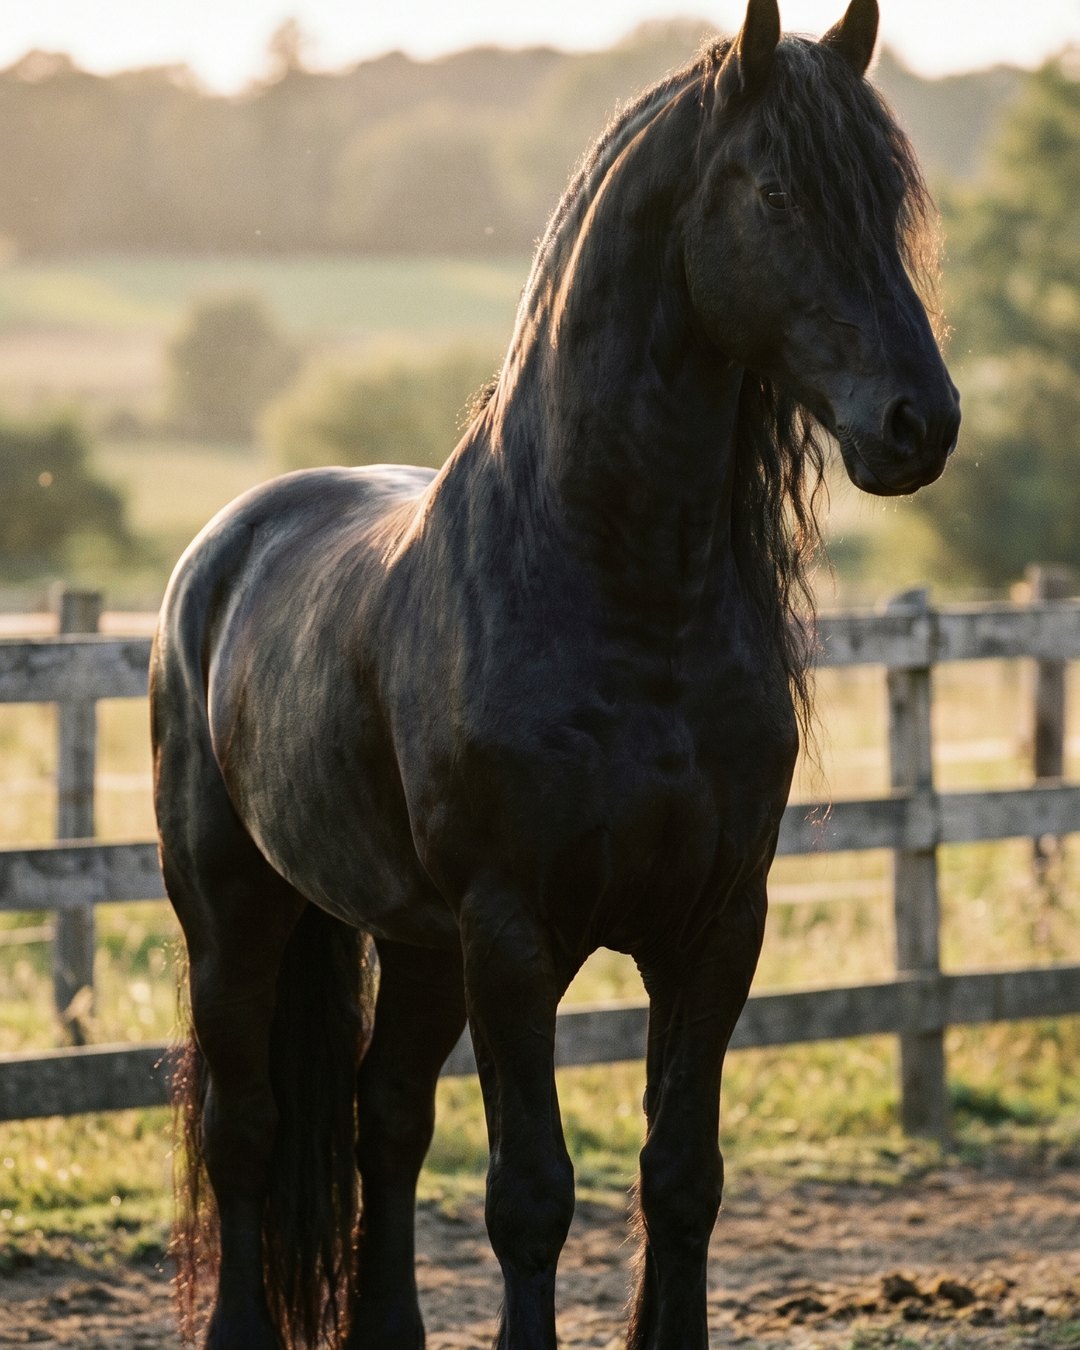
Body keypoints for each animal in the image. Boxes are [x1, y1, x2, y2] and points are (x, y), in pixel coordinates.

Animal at [151, 1, 960, 1345]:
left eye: (892, 199)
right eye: (778, 193)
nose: (922, 421)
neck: (618, 597)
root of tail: (227, 546)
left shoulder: (716, 925)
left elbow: (681, 1177)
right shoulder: (515, 933)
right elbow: (530, 1193)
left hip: (417, 944)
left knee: (385, 1117)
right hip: (234, 912)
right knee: (248, 1131)